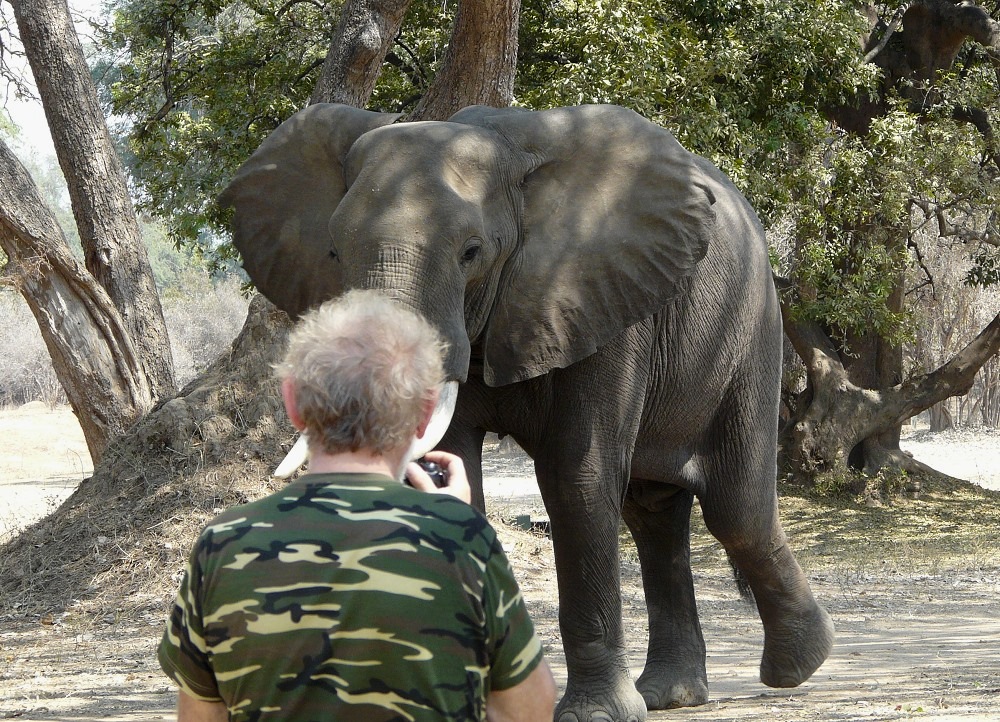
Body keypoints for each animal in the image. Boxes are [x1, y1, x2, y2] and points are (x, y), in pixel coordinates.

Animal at [219, 102, 836, 720]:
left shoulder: (602, 295)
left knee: (736, 508)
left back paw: (798, 665)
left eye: (471, 252)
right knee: (654, 515)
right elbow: (458, 470)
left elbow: (577, 480)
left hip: (751, 328)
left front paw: (593, 715)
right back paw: (671, 693)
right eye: (333, 253)